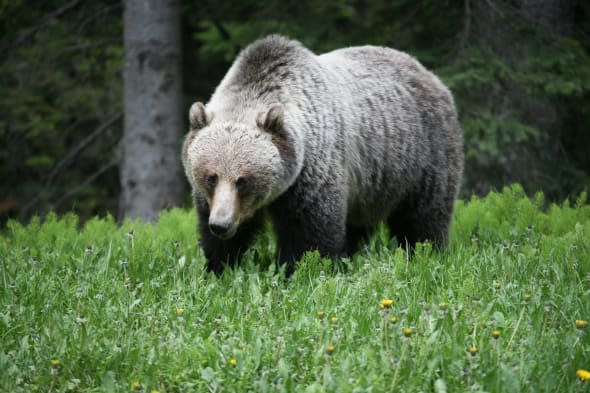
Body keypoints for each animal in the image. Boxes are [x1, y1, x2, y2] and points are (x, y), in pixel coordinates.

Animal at [183, 35, 464, 274]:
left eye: (243, 180)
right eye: (211, 177)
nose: (221, 224)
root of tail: (429, 74)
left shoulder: (314, 169)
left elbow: (311, 232)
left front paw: (300, 269)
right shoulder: (214, 200)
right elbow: (220, 240)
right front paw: (220, 266)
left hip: (423, 154)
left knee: (423, 216)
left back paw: (426, 253)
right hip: (369, 185)